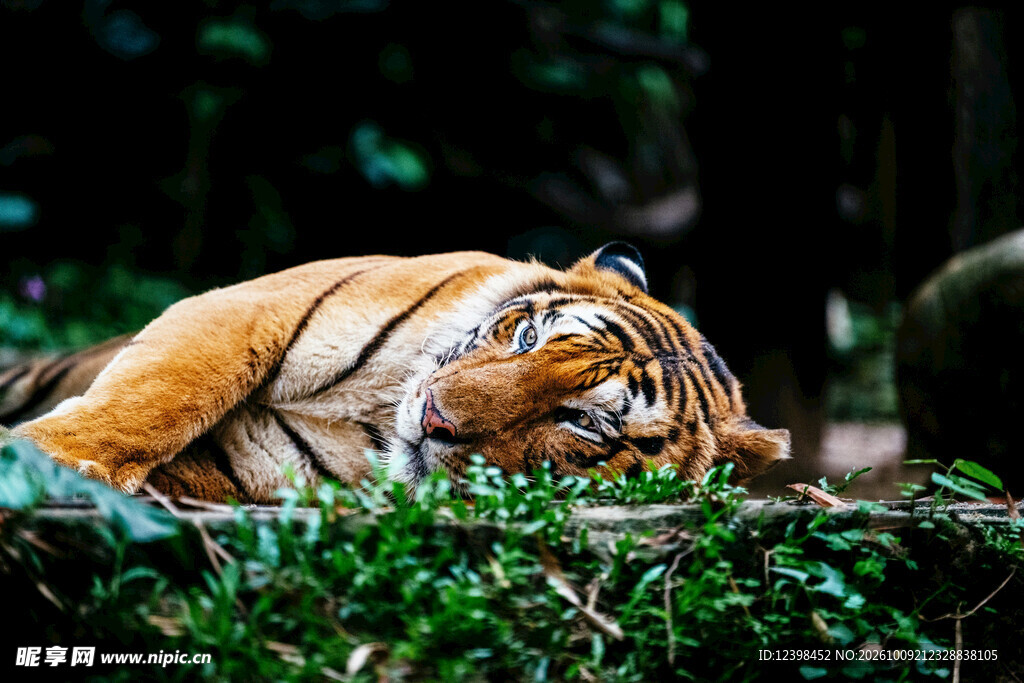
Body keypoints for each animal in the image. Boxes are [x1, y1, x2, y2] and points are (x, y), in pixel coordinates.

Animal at [1, 243, 790, 503]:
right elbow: (157, 398)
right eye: (527, 336)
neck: (374, 413)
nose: (434, 417)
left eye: (585, 422)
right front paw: (42, 459)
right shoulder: (242, 310)